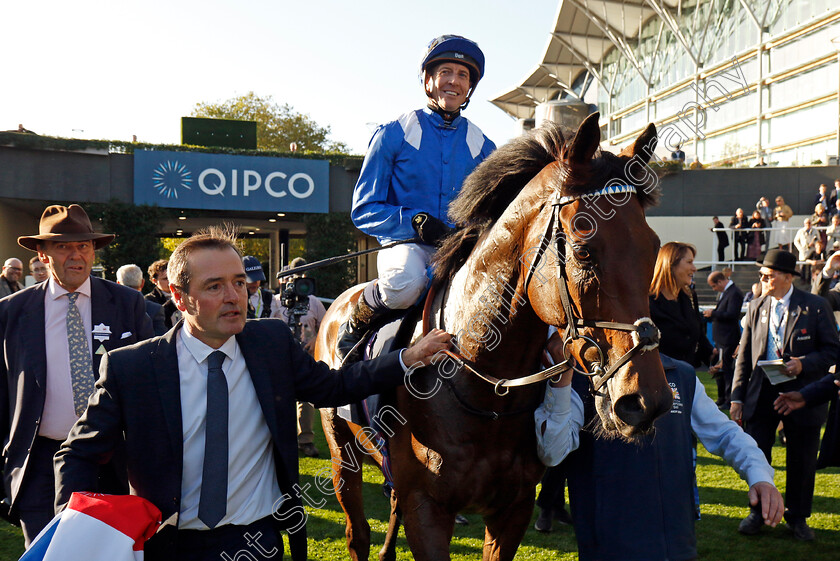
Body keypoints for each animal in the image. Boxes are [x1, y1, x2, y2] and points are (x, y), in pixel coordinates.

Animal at [316, 114, 676, 560]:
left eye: (653, 250)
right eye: (584, 250)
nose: (647, 402)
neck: (485, 391)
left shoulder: (513, 508)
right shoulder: (427, 510)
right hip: (340, 456)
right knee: (357, 534)